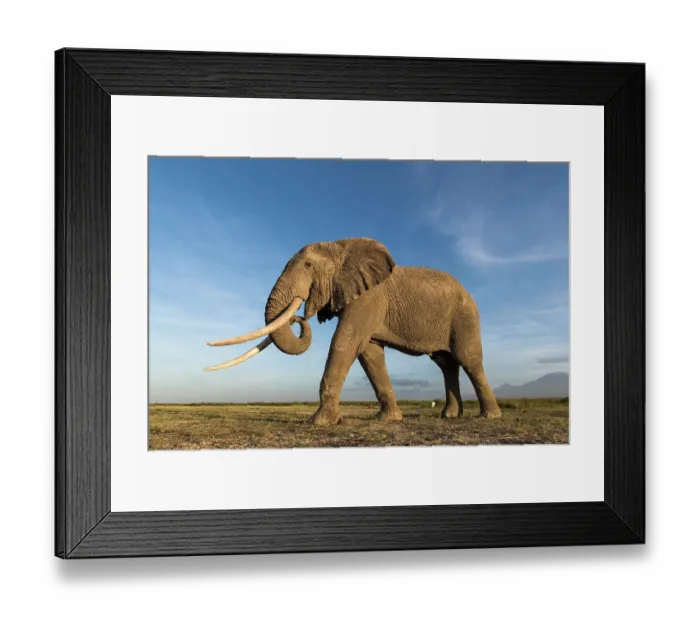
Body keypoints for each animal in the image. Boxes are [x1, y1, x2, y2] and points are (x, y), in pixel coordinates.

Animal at [206, 238, 502, 426]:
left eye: (308, 266)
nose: (298, 318)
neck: (341, 247)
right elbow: (369, 354)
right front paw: (388, 420)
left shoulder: (368, 299)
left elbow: (345, 343)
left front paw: (320, 423)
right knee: (446, 364)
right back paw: (449, 416)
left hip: (464, 318)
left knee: (469, 360)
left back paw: (490, 417)